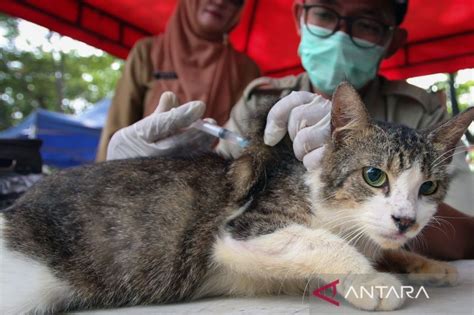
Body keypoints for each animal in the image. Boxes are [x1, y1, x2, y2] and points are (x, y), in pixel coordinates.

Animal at [0, 82, 474, 314]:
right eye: (374, 176)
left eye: (428, 187)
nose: (406, 220)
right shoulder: (242, 229)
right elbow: (318, 241)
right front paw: (371, 280)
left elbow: (382, 246)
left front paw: (428, 265)